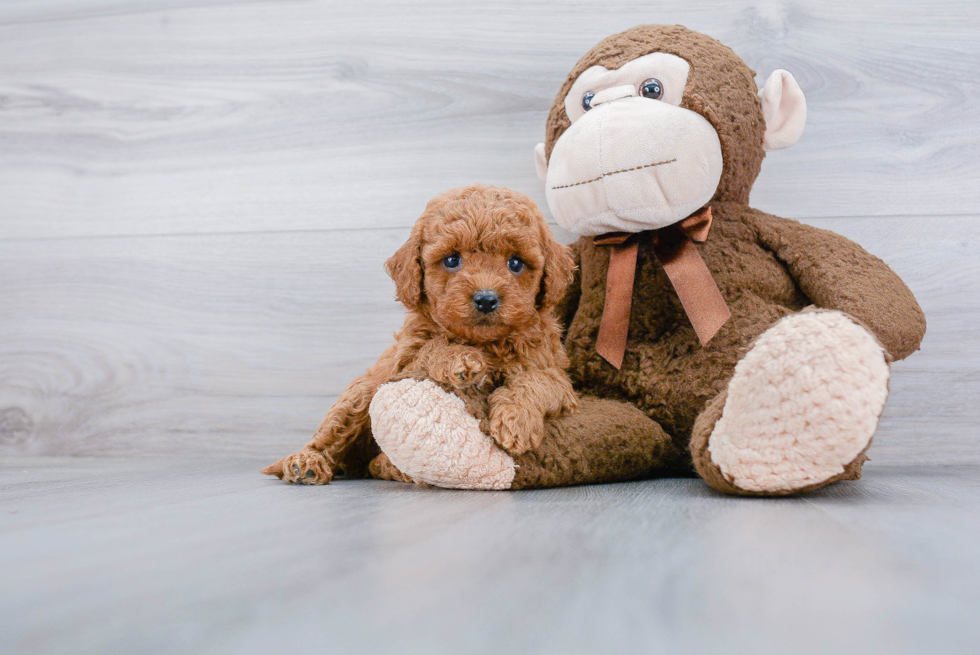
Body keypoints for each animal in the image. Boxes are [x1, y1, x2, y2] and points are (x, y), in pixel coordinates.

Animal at [264, 187, 580, 484]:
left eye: (515, 263)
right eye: (451, 260)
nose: (486, 299)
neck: (483, 343)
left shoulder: (555, 375)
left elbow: (536, 381)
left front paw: (517, 421)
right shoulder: (404, 361)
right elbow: (432, 345)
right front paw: (459, 359)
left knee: (374, 464)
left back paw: (390, 467)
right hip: (359, 395)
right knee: (328, 439)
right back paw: (306, 463)